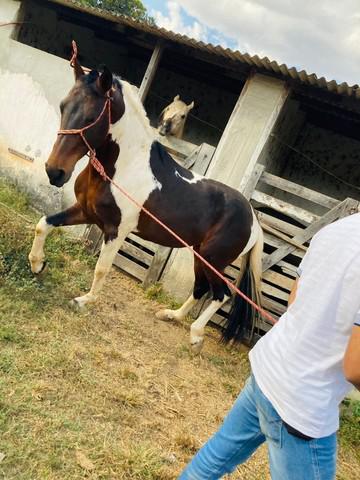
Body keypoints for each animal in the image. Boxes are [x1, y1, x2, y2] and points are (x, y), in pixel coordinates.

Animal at [28, 47, 262, 352]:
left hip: (215, 260)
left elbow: (102, 269)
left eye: (91, 116)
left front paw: (83, 300)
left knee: (222, 295)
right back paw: (170, 316)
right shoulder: (85, 211)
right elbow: (43, 224)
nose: (55, 172)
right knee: (201, 289)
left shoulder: (116, 230)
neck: (124, 166)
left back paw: (196, 336)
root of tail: (253, 219)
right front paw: (37, 264)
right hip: (200, 255)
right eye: (63, 106)